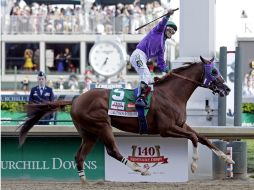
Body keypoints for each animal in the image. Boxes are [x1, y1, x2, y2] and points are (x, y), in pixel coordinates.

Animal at [18, 56, 234, 183]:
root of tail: (76, 98)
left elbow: (203, 138)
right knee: (112, 150)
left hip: (89, 133)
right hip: (101, 125)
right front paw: (195, 164)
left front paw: (227, 158)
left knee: (79, 157)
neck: (171, 93)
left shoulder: (180, 124)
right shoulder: (167, 129)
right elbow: (195, 138)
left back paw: (85, 182)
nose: (227, 88)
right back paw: (140, 169)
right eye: (214, 71)